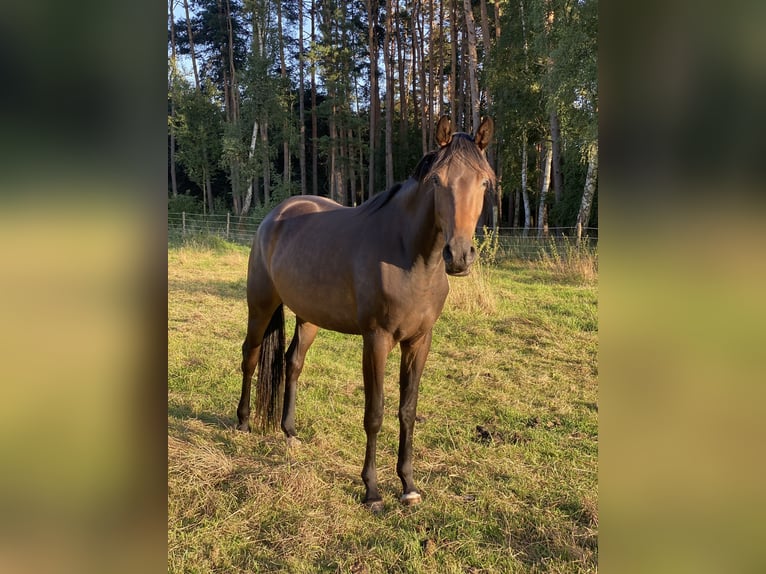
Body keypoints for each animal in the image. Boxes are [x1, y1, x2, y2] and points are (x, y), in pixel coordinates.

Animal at [236, 116, 495, 511]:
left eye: (484, 181)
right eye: (437, 180)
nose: (460, 256)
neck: (409, 256)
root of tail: (275, 216)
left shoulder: (419, 341)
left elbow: (407, 411)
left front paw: (408, 485)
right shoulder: (376, 340)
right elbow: (375, 413)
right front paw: (372, 491)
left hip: (309, 317)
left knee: (293, 363)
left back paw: (290, 432)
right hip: (261, 304)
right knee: (250, 357)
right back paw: (243, 422)